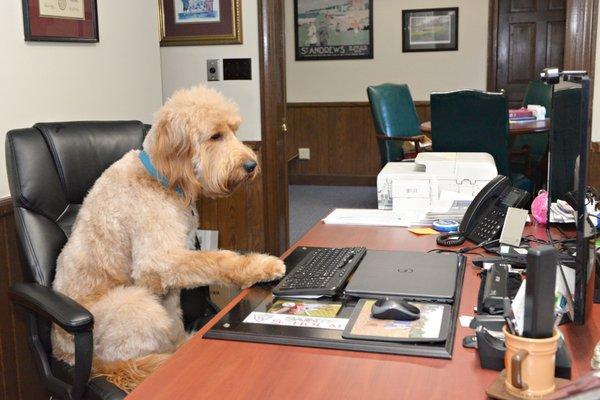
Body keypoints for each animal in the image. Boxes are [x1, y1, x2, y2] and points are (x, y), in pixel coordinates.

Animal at [51, 85, 286, 390]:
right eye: (215, 136)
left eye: (234, 130)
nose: (251, 165)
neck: (161, 179)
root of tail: (67, 357)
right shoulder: (158, 261)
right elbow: (217, 259)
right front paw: (261, 266)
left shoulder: (170, 282)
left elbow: (176, 315)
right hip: (133, 304)